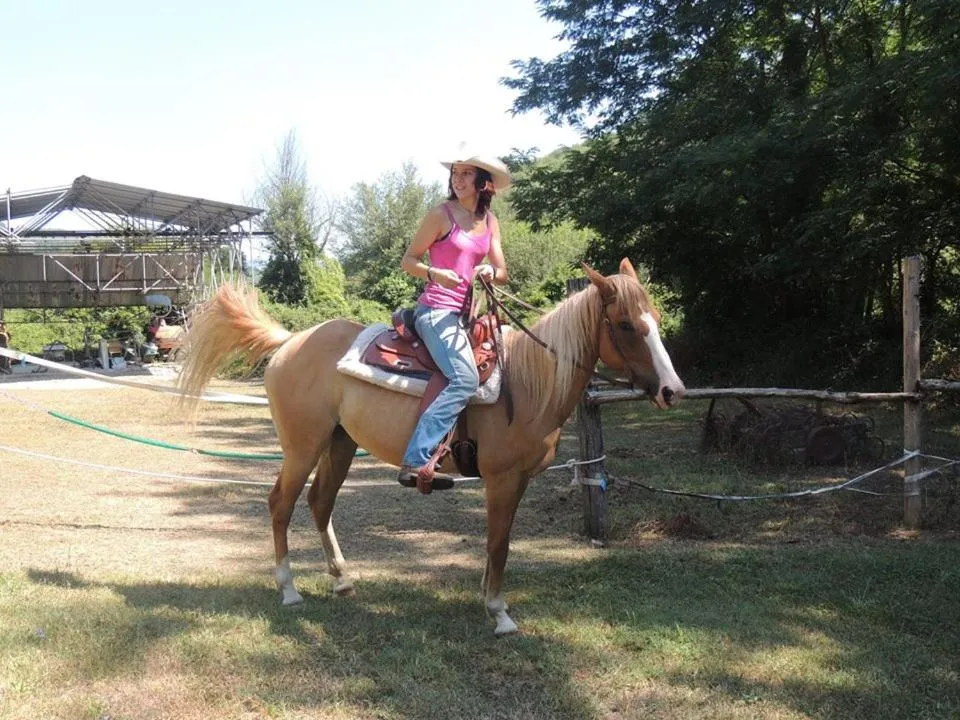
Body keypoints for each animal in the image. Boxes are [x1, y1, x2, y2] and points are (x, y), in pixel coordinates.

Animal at [178, 258, 685, 635]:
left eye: (656, 320)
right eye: (624, 324)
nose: (672, 391)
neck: (526, 382)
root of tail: (291, 342)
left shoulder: (517, 480)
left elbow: (497, 541)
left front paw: (487, 597)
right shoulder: (502, 478)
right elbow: (499, 542)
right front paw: (499, 612)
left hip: (340, 444)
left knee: (320, 502)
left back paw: (342, 581)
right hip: (302, 446)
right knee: (280, 503)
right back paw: (288, 589)